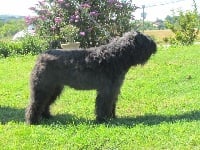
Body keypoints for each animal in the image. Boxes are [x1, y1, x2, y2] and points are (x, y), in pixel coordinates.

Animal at [25, 31, 156, 124]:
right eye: (145, 40)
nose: (155, 45)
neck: (117, 55)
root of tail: (41, 56)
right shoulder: (106, 90)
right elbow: (104, 104)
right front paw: (103, 119)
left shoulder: (114, 89)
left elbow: (112, 103)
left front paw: (112, 117)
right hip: (43, 88)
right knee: (35, 103)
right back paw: (32, 121)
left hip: (54, 89)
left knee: (45, 103)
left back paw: (47, 116)